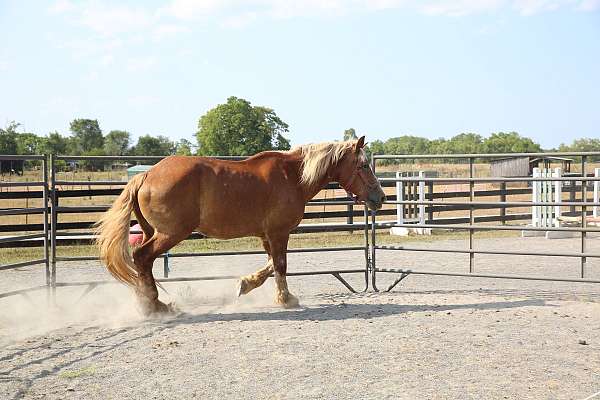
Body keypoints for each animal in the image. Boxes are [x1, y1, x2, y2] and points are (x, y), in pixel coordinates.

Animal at [94, 138, 384, 316]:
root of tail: (145, 175)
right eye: (362, 165)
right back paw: (153, 305)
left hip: (151, 231)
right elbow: (280, 266)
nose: (380, 197)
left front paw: (245, 284)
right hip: (169, 233)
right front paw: (286, 299)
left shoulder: (267, 235)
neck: (292, 177)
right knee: (142, 257)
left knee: (143, 263)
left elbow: (270, 266)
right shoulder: (279, 233)